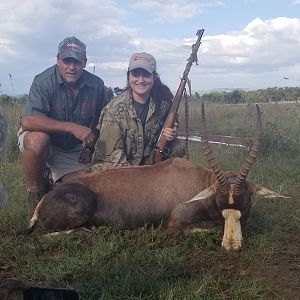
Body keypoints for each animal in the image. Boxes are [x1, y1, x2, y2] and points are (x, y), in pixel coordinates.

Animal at [24, 104, 288, 250]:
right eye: (219, 204)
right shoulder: (174, 224)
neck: (199, 181)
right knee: (36, 236)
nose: (232, 247)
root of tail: (44, 200)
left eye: (245, 204)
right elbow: (206, 228)